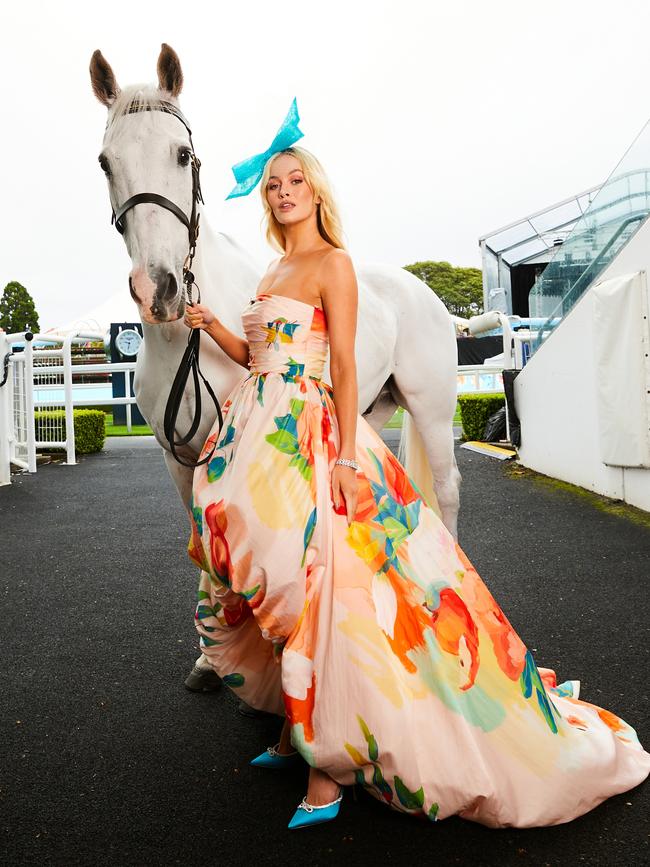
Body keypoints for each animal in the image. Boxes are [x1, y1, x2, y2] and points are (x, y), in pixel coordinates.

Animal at [88, 45, 458, 544]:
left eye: (184, 154)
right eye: (106, 162)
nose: (157, 289)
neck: (183, 350)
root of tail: (423, 291)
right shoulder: (177, 460)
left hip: (433, 410)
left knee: (447, 487)